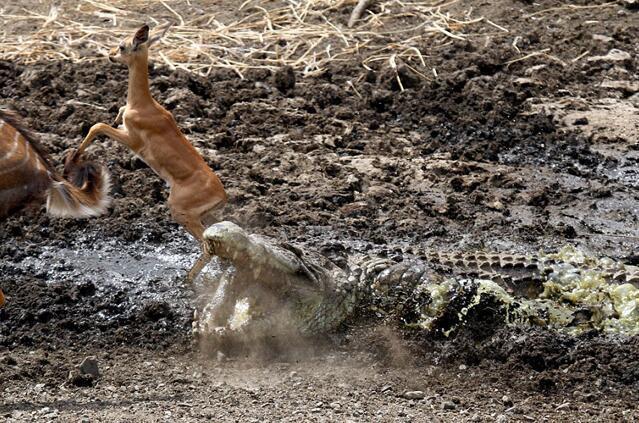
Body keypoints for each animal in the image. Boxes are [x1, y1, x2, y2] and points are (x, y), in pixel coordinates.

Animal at [73, 22, 228, 282]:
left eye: (122, 45)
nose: (110, 54)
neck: (142, 105)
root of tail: (222, 194)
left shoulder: (132, 141)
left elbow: (98, 125)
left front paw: (73, 156)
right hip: (205, 216)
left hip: (180, 212)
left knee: (207, 246)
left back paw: (186, 280)